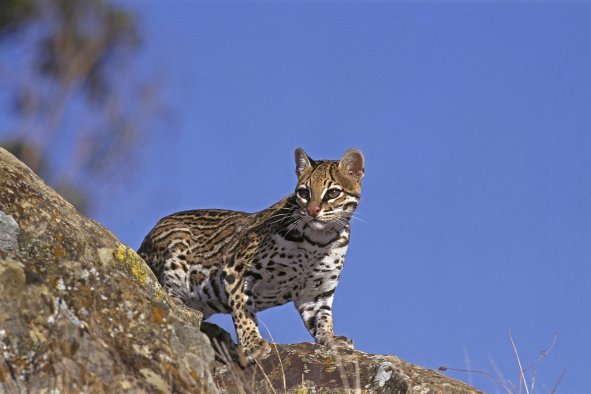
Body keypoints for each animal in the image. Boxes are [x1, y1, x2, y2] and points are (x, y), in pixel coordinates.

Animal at [139, 147, 366, 358]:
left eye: (333, 193)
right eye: (303, 193)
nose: (312, 211)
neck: (318, 241)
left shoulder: (318, 290)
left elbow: (322, 318)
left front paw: (331, 338)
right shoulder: (235, 266)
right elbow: (242, 307)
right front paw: (252, 343)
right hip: (175, 248)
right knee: (168, 301)